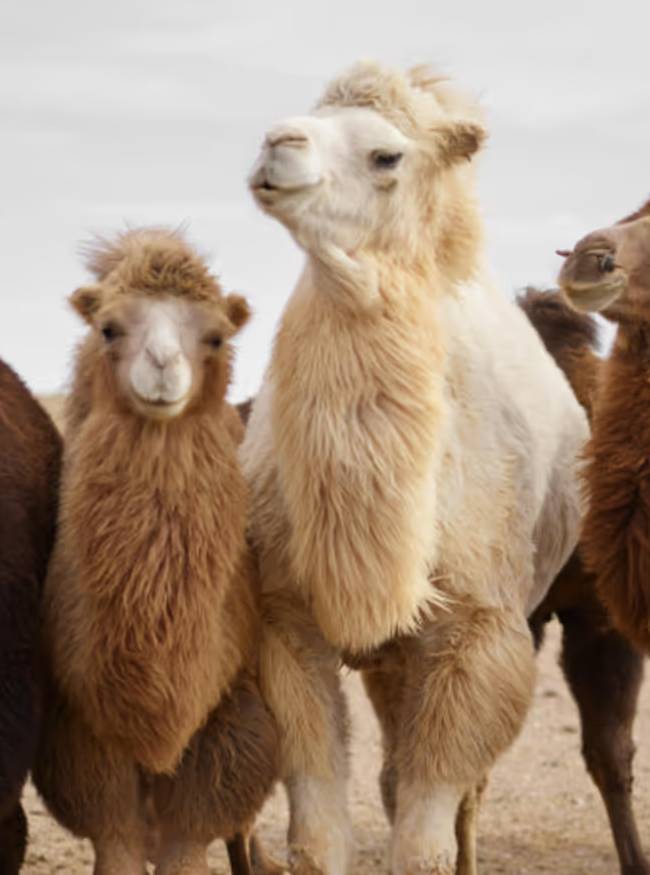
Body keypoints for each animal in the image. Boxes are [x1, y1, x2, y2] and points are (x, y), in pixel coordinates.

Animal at [33, 229, 280, 875]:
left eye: (216, 336)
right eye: (109, 328)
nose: (164, 365)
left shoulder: (227, 719)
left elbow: (190, 838)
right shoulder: (82, 728)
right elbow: (116, 837)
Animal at [241, 61, 589, 875]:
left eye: (386, 156)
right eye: (308, 115)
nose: (277, 142)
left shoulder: (480, 632)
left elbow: (427, 831)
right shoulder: (285, 620)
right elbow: (317, 830)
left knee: (455, 790)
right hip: (389, 658)